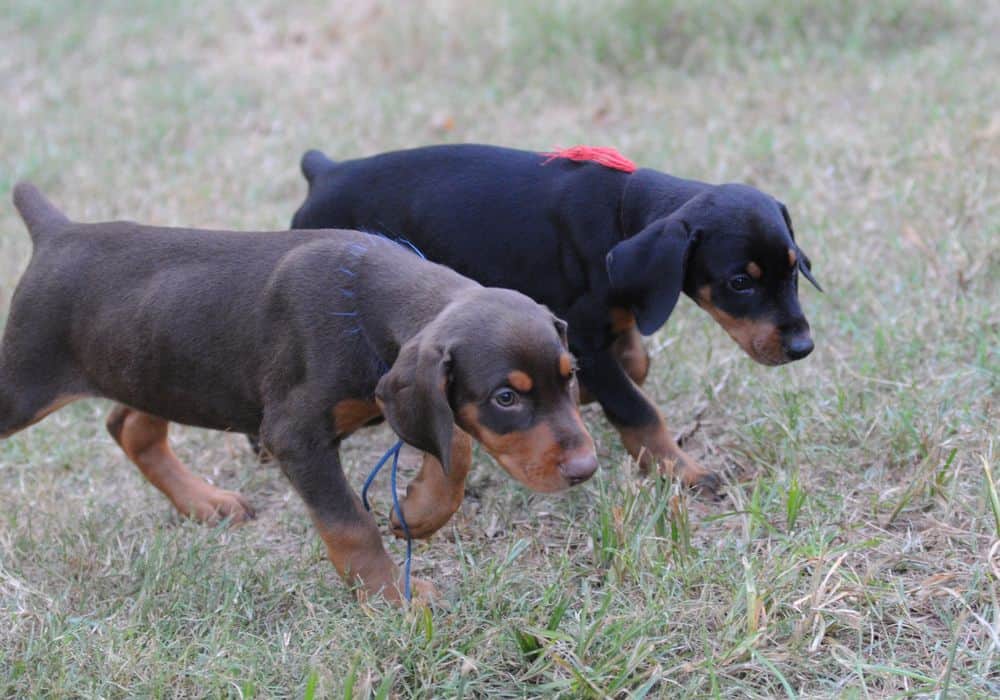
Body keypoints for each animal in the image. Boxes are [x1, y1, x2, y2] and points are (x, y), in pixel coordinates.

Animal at [3, 183, 596, 604]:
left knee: (130, 427)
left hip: (162, 370)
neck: (363, 305)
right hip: (31, 385)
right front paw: (394, 597)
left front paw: (420, 511)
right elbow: (351, 525)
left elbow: (455, 444)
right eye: (506, 398)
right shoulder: (294, 435)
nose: (586, 469)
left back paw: (206, 502)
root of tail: (57, 234)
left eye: (570, 375)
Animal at [290, 145, 820, 498]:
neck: (622, 213)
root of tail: (326, 171)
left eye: (794, 268)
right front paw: (682, 469)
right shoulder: (582, 334)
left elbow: (635, 360)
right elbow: (638, 407)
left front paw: (586, 392)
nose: (802, 348)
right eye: (740, 282)